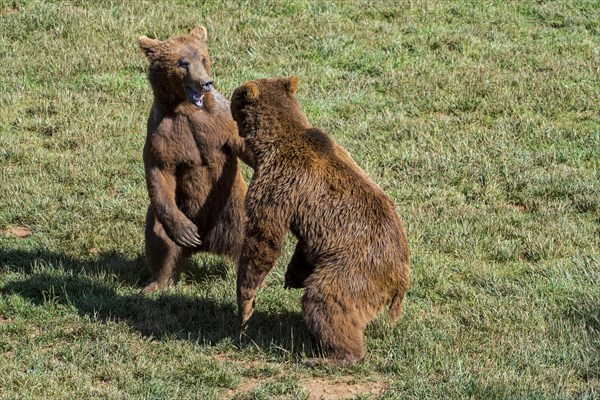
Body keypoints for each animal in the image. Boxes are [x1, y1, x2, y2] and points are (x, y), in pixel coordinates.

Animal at [137, 26, 247, 292]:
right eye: (183, 62)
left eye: (203, 58)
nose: (205, 82)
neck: (187, 108)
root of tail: (208, 242)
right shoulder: (164, 132)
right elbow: (160, 170)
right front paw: (185, 232)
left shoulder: (220, 122)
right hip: (179, 207)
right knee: (160, 241)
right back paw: (156, 283)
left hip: (233, 207)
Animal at [230, 76, 408, 368]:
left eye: (234, 96)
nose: (227, 93)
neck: (269, 145)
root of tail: (401, 278)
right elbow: (303, 247)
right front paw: (292, 275)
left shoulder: (278, 184)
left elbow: (263, 239)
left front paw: (245, 306)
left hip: (357, 268)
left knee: (327, 299)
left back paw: (331, 356)